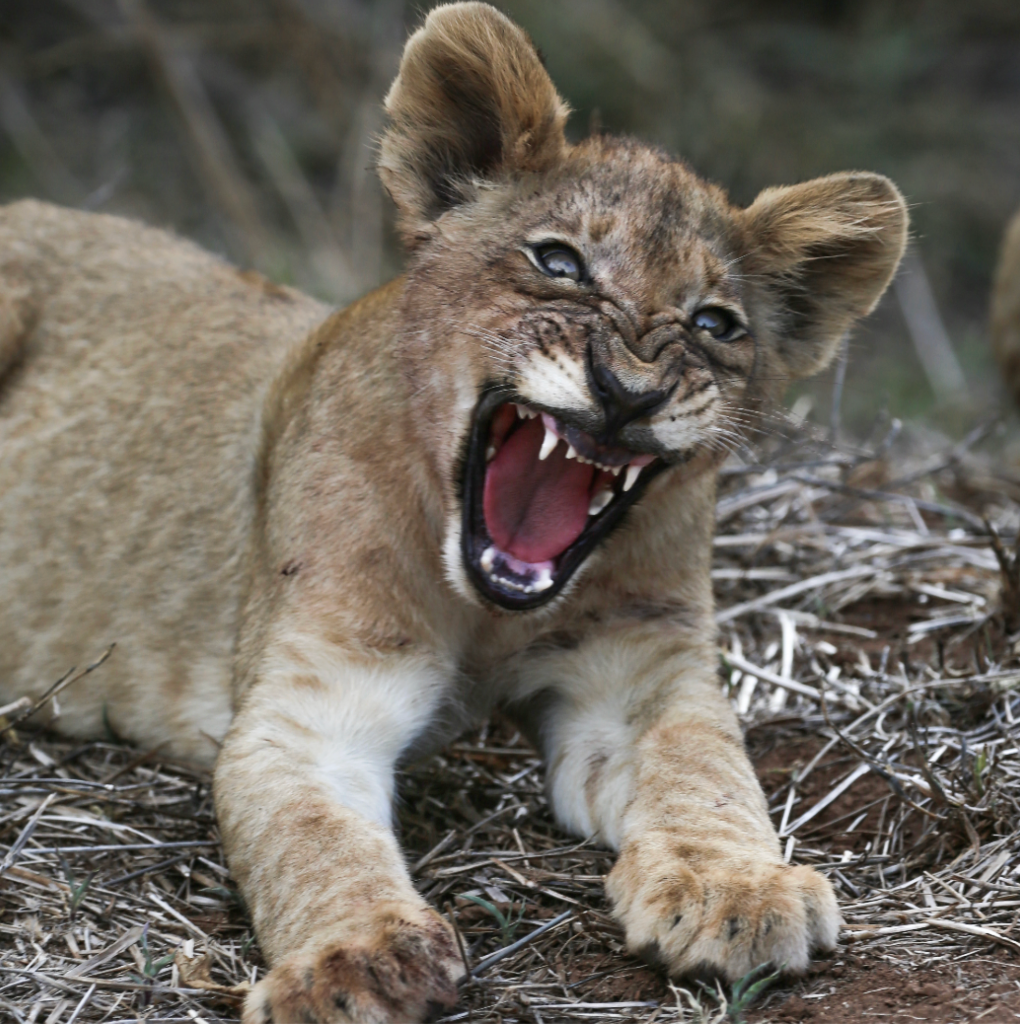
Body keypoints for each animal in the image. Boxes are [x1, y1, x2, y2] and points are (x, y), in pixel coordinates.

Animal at [0, 4, 907, 1021]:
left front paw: (736, 889)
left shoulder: (642, 673)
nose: (628, 391)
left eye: (716, 322)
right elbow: (314, 840)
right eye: (558, 261)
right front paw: (354, 965)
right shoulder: (313, 709)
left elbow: (704, 767)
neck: (485, 616)